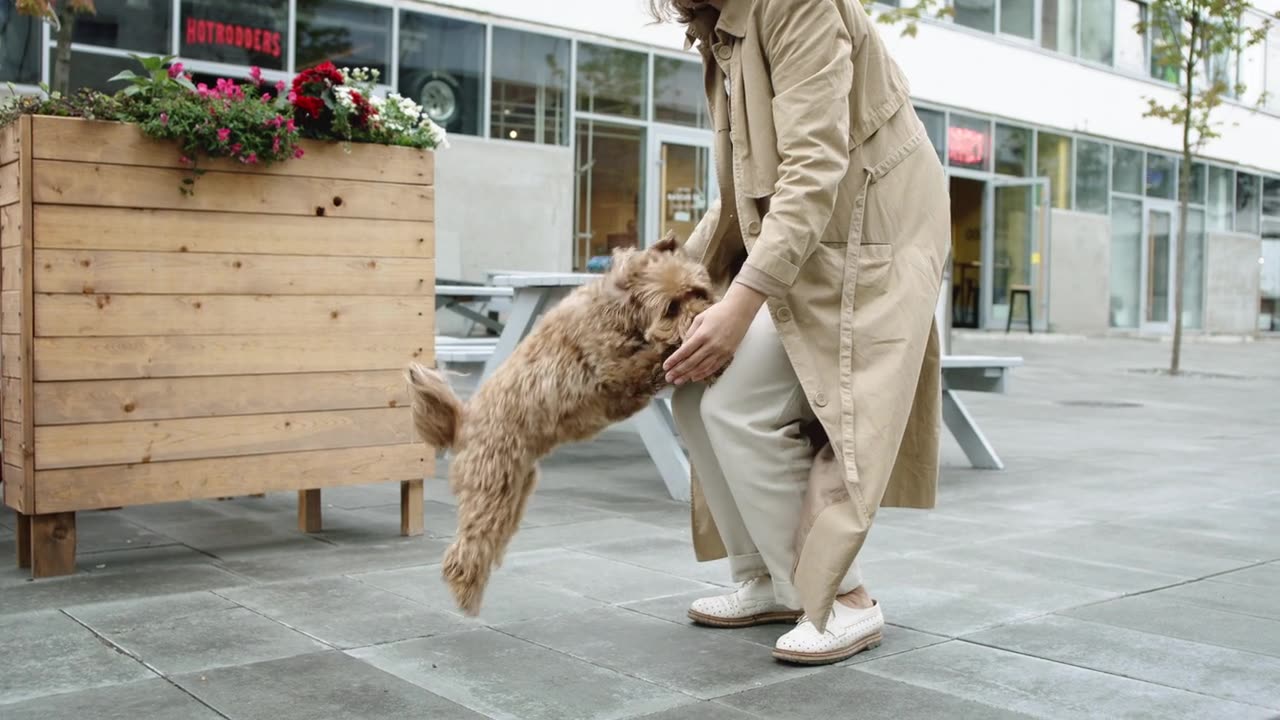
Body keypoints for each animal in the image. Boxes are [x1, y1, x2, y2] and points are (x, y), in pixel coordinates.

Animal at [407, 234, 721, 609]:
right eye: (671, 307)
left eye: (698, 292)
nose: (704, 316)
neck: (621, 310)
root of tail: (462, 422)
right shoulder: (615, 369)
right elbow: (655, 357)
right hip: (491, 485)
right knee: (465, 549)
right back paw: (466, 594)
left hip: (514, 491)